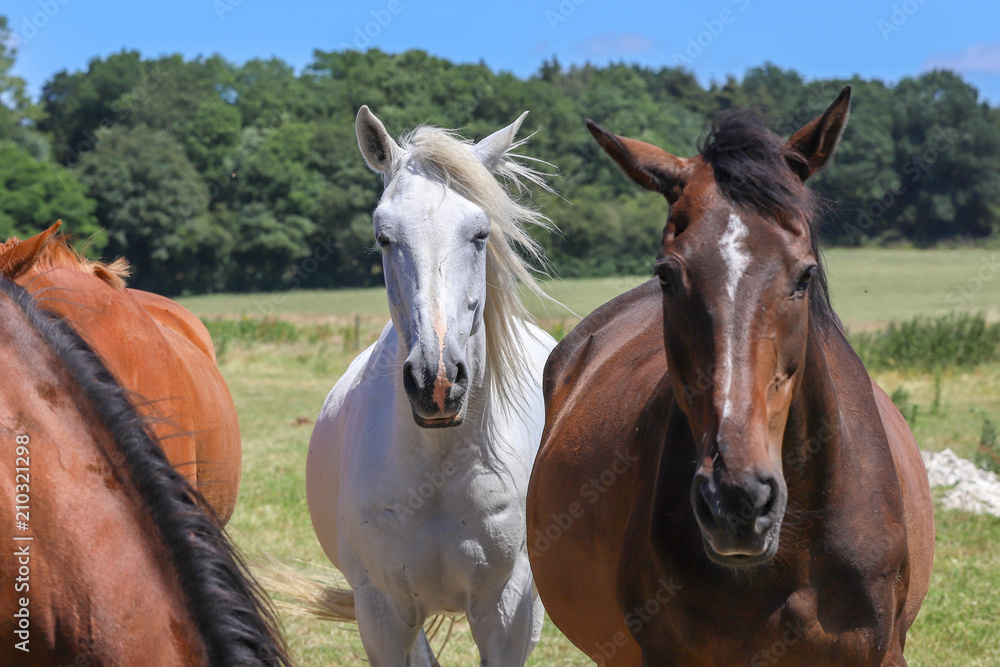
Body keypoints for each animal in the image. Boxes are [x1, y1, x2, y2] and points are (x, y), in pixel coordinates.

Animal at [305, 107, 557, 665]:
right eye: (384, 237)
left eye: (481, 233)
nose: (436, 382)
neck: (439, 465)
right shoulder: (381, 612)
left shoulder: (508, 613)